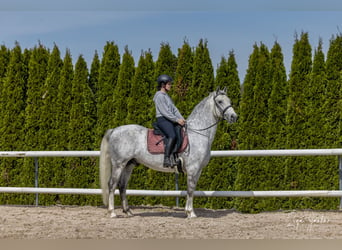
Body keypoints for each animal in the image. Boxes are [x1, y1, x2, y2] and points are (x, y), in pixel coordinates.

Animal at [100, 89, 236, 218]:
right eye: (220, 101)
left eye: (229, 100)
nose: (234, 117)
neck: (198, 133)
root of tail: (114, 130)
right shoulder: (193, 169)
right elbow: (190, 189)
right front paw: (190, 213)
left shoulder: (198, 170)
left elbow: (192, 189)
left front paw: (190, 212)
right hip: (119, 164)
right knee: (112, 184)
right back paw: (112, 212)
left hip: (129, 164)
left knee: (122, 186)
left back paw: (128, 211)